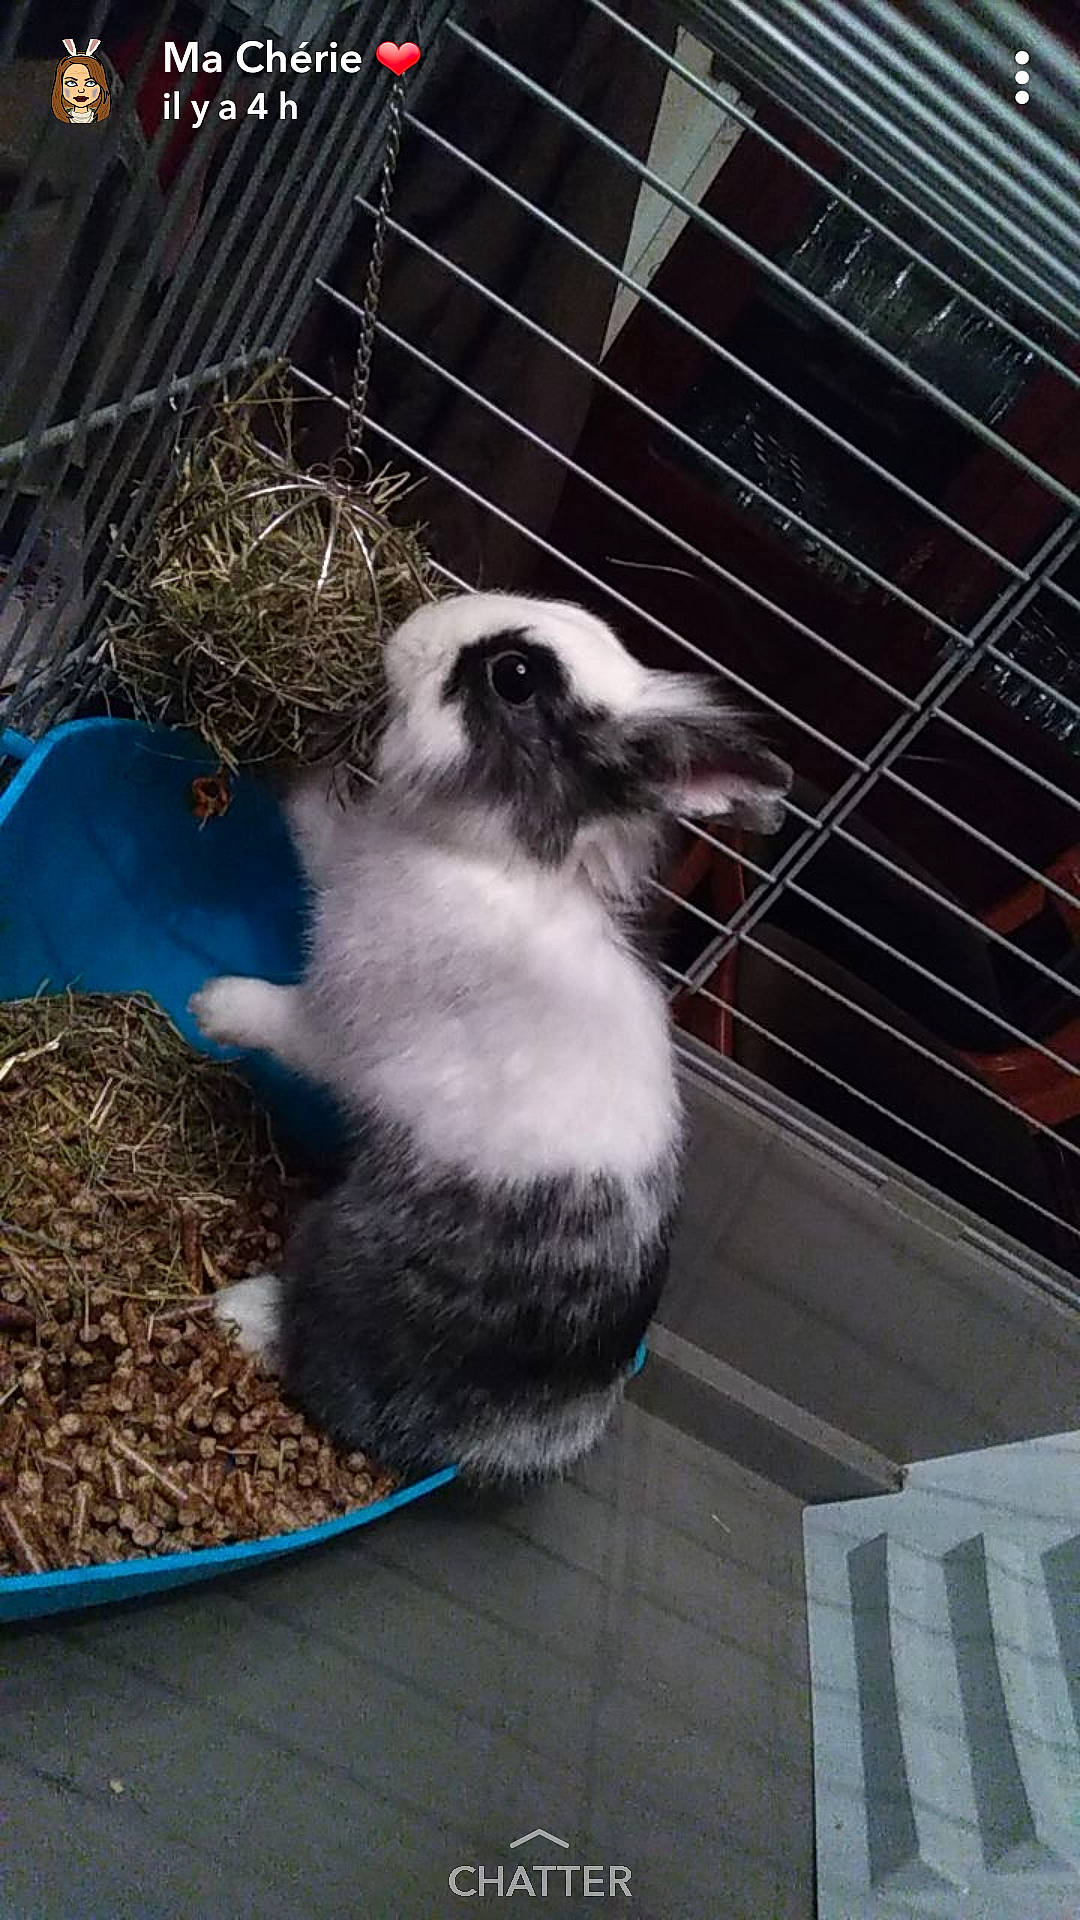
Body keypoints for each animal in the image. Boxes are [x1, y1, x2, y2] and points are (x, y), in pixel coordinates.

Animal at [189, 592, 791, 1482]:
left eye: (513, 676)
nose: (409, 631)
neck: (495, 861)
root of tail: (543, 1428)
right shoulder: (341, 861)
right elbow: (311, 823)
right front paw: (280, 765)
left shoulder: (345, 1017)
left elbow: (286, 1025)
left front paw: (212, 1005)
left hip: (353, 1257)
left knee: (323, 1352)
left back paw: (240, 1313)